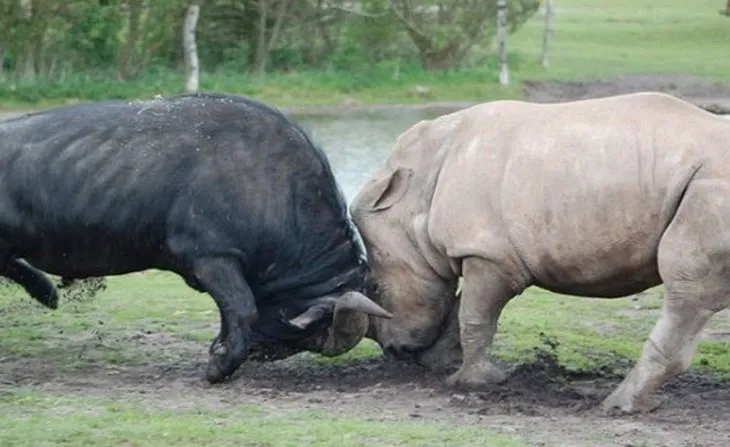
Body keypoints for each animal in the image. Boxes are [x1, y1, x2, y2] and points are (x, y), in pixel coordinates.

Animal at [0, 93, 392, 384]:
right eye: (307, 334)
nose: (260, 353)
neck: (274, 187)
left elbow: (229, 312)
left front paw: (220, 350)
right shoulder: (211, 256)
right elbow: (242, 307)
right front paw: (220, 366)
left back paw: (46, 293)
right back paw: (46, 291)